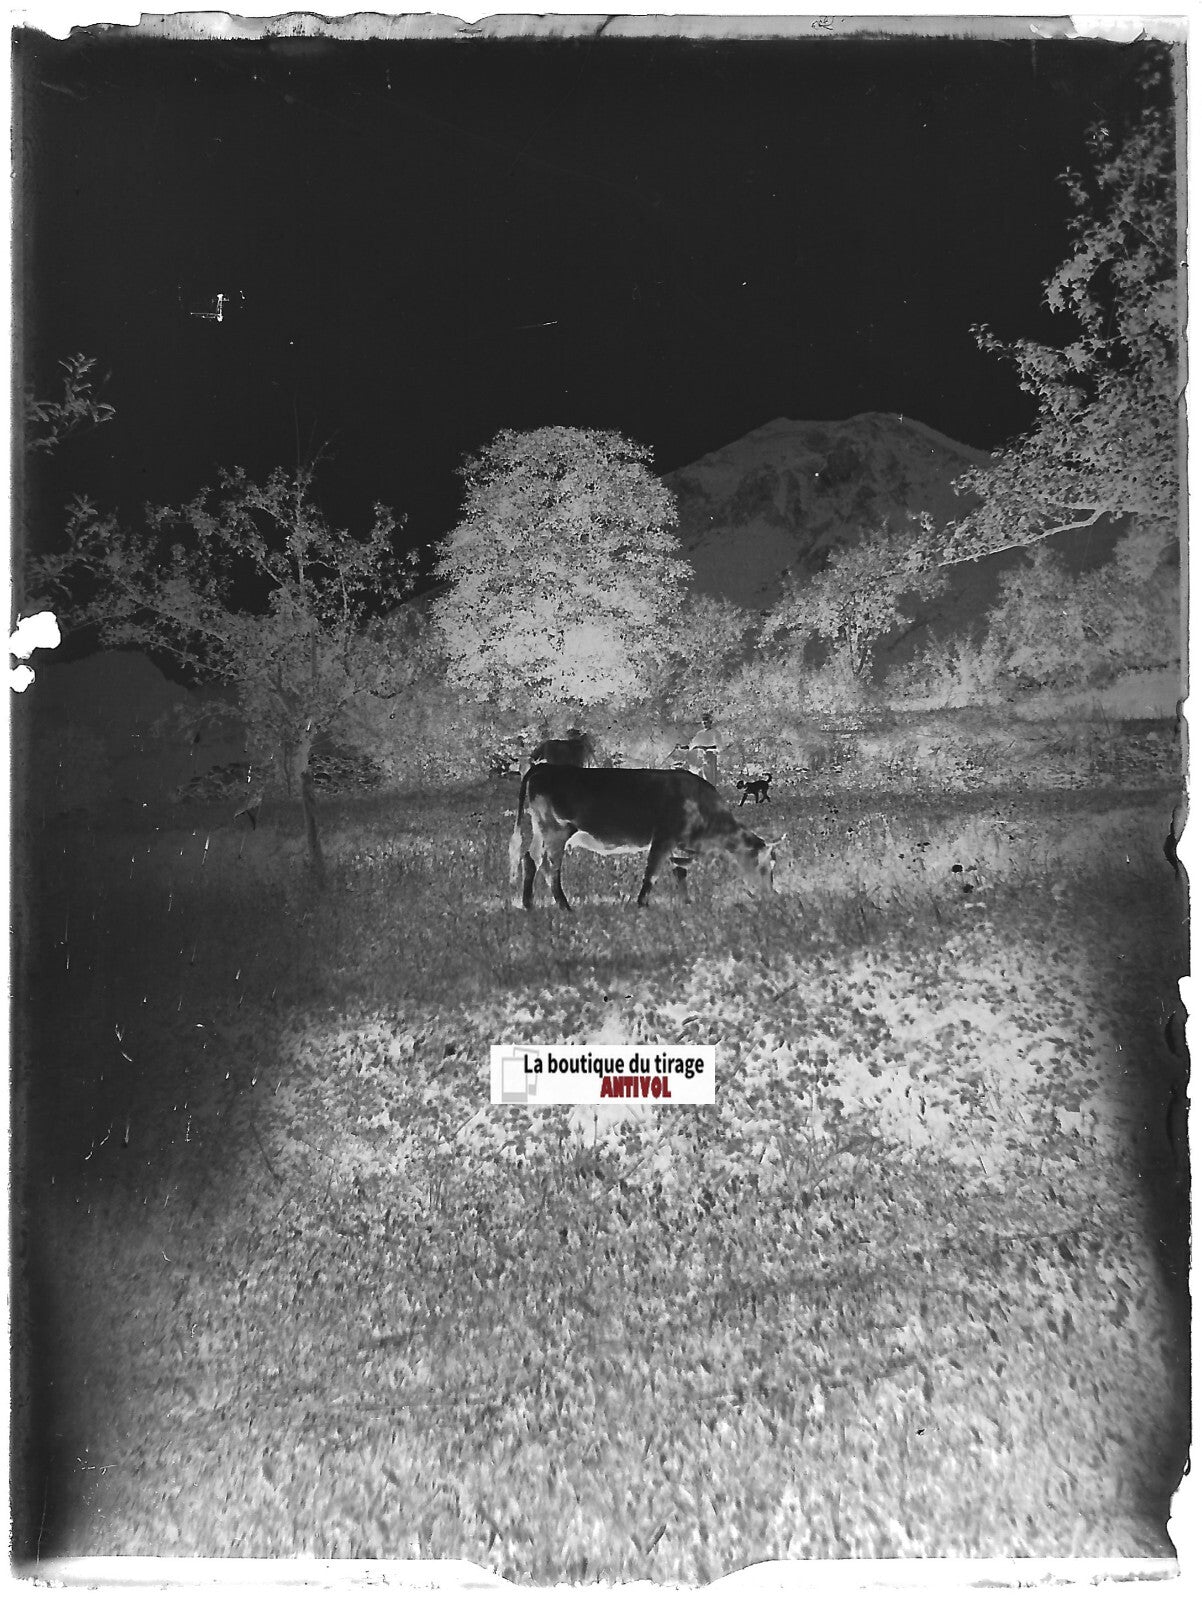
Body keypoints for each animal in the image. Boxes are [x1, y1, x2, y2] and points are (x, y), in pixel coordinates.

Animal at [510, 765, 778, 910]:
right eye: (764, 865)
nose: (771, 895)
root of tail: (545, 767)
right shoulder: (663, 838)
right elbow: (652, 873)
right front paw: (642, 904)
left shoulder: (676, 844)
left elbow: (680, 871)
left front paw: (687, 902)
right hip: (556, 830)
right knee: (550, 866)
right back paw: (565, 906)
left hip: (540, 830)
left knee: (530, 858)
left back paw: (528, 903)